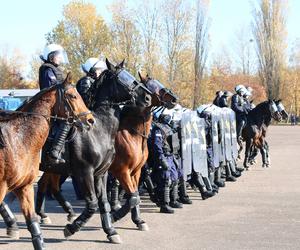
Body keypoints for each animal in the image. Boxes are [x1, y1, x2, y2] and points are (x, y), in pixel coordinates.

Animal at [35, 59, 152, 244]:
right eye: (123, 77)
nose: (147, 97)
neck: (100, 130)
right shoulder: (89, 172)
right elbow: (94, 203)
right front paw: (72, 228)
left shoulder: (103, 173)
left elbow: (107, 201)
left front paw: (111, 229)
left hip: (53, 169)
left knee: (47, 185)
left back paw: (52, 214)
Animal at [109, 72, 177, 229]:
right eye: (152, 84)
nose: (174, 98)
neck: (132, 134)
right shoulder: (121, 170)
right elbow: (133, 196)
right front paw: (114, 216)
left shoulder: (135, 171)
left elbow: (135, 195)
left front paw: (138, 220)